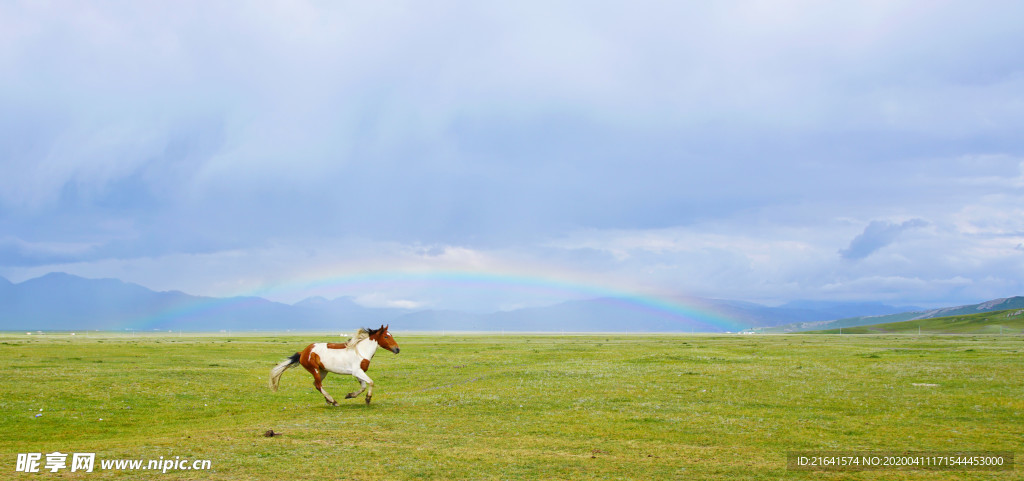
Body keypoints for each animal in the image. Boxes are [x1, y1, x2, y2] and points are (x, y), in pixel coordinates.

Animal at [268, 323, 399, 405]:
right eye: (386, 336)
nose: (397, 349)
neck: (361, 351)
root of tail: (303, 352)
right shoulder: (357, 371)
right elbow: (371, 382)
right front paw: (368, 399)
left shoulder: (358, 372)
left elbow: (363, 386)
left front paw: (350, 395)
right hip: (314, 369)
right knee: (318, 385)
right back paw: (333, 401)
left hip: (323, 371)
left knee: (316, 384)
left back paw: (328, 400)